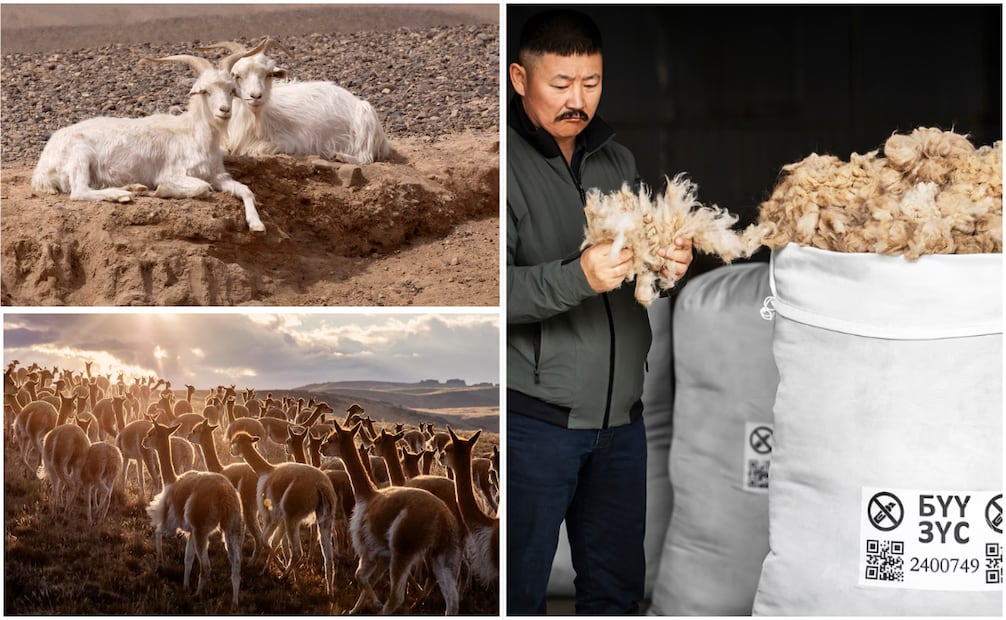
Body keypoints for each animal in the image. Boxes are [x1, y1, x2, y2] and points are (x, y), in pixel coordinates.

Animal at [31, 43, 270, 232]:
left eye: (231, 90)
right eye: (205, 91)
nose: (224, 110)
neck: (193, 133)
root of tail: (41, 170)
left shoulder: (218, 175)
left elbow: (245, 190)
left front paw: (257, 224)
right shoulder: (174, 172)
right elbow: (202, 187)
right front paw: (162, 191)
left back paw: (132, 188)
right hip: (79, 155)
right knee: (79, 191)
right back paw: (122, 195)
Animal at [197, 38, 393, 164]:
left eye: (269, 74)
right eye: (237, 75)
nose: (256, 96)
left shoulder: (293, 142)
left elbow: (254, 149)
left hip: (365, 121)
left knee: (366, 157)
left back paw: (341, 157)